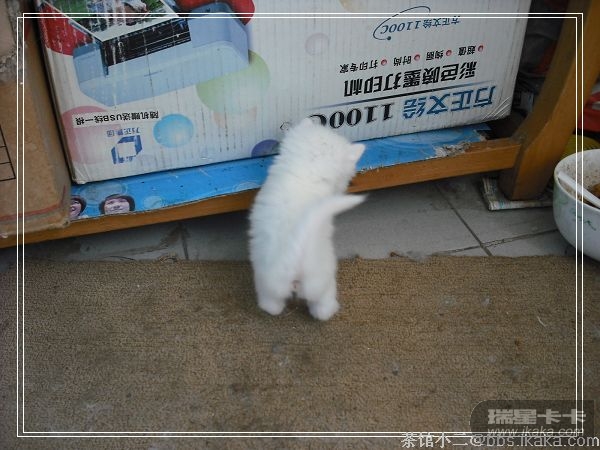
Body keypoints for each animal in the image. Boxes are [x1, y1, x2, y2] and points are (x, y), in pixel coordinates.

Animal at [248, 118, 366, 320]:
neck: (309, 169)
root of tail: (294, 256)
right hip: (325, 282)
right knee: (323, 308)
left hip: (268, 282)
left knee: (272, 306)